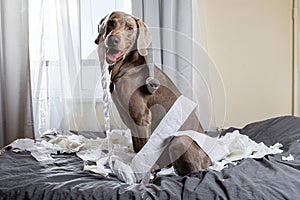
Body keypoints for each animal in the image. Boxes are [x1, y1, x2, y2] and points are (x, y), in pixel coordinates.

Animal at [95, 11, 211, 176]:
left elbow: (144, 150)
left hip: (179, 141)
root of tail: (211, 161)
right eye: (111, 23)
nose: (113, 39)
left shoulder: (142, 116)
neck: (125, 66)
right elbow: (138, 148)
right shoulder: (132, 119)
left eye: (130, 28)